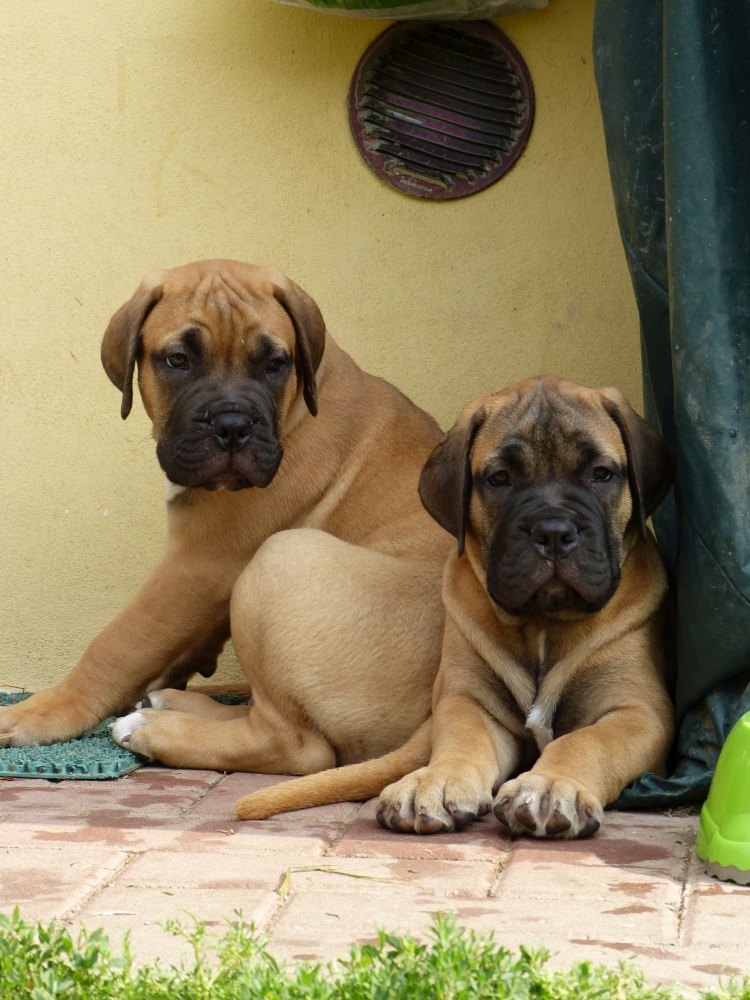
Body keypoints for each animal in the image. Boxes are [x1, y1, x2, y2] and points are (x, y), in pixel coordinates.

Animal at [0, 260, 450, 770]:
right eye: (178, 360)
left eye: (274, 365)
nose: (232, 426)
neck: (297, 406)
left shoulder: (198, 565)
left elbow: (116, 644)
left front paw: (41, 712)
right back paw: (170, 703)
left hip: (283, 557)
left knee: (296, 744)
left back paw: (156, 729)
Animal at [236, 376, 675, 838]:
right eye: (499, 479)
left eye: (601, 474)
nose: (553, 532)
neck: (543, 626)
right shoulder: (469, 700)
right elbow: (463, 741)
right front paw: (436, 781)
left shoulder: (638, 711)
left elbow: (586, 740)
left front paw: (551, 784)